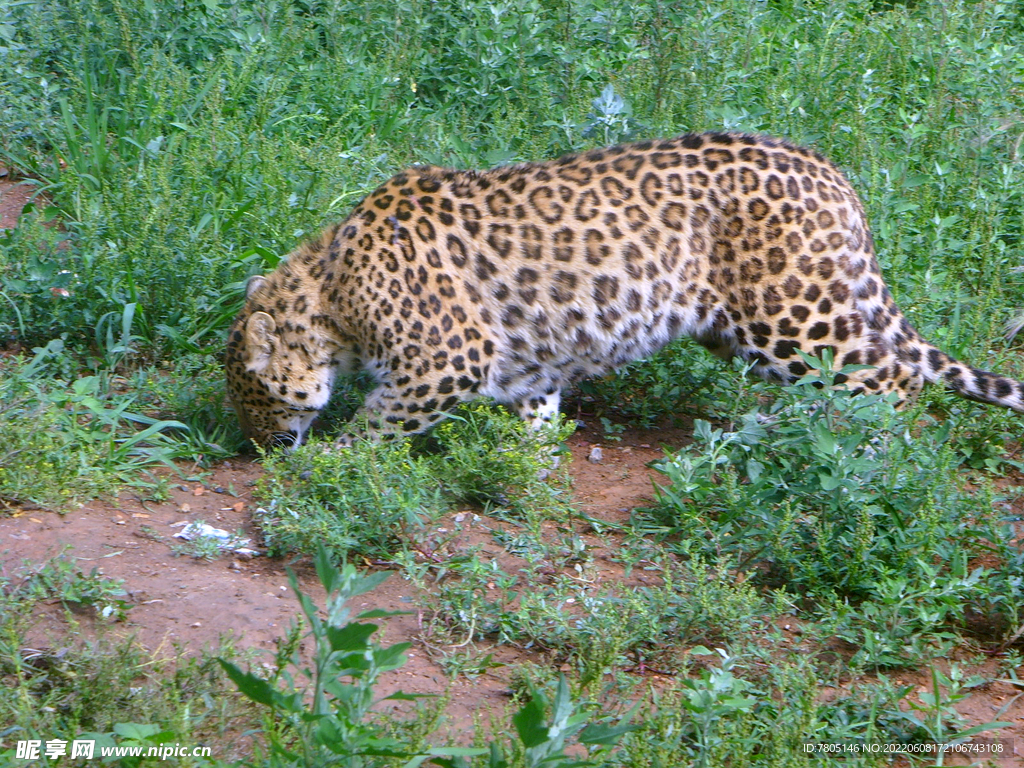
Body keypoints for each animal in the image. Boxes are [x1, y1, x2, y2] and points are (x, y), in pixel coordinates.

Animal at [224, 132, 1024, 450]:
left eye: (252, 395)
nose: (260, 449)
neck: (330, 289)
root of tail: (833, 175)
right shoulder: (528, 361)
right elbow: (536, 412)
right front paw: (524, 463)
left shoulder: (445, 356)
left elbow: (378, 425)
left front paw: (331, 468)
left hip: (792, 318)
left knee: (892, 383)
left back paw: (856, 451)